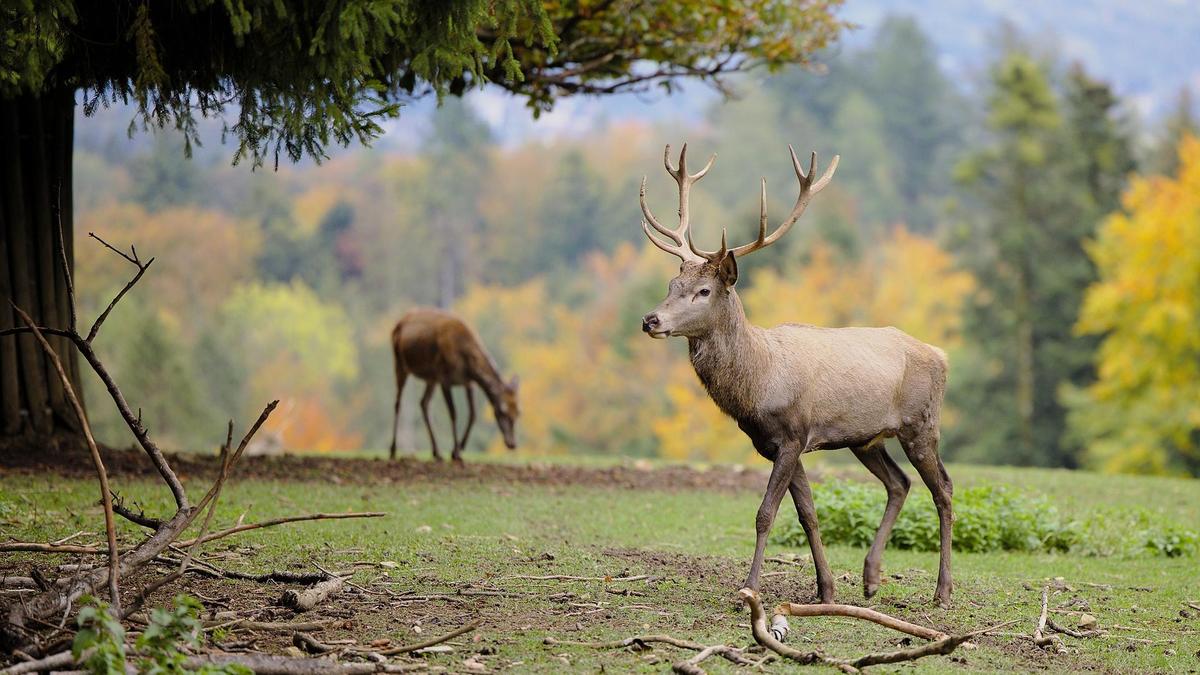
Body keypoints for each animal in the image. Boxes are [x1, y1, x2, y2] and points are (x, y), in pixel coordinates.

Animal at [384, 306, 516, 458]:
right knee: (398, 403)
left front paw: (459, 448)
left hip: (431, 377)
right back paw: (393, 450)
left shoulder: (468, 383)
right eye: (502, 412)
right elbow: (453, 413)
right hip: (400, 363)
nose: (512, 444)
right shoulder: (444, 378)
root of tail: (399, 322)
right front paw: (456, 452)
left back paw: (436, 452)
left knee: (424, 402)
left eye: (518, 412)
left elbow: (473, 414)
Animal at [638, 141, 955, 605]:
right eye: (670, 285)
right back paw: (870, 578)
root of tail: (940, 354)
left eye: (704, 291)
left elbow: (765, 513)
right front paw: (826, 591)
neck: (758, 384)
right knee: (899, 483)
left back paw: (942, 591)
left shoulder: (793, 434)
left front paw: (750, 587)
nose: (650, 320)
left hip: (922, 423)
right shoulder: (776, 444)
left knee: (943, 489)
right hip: (865, 438)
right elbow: (808, 514)